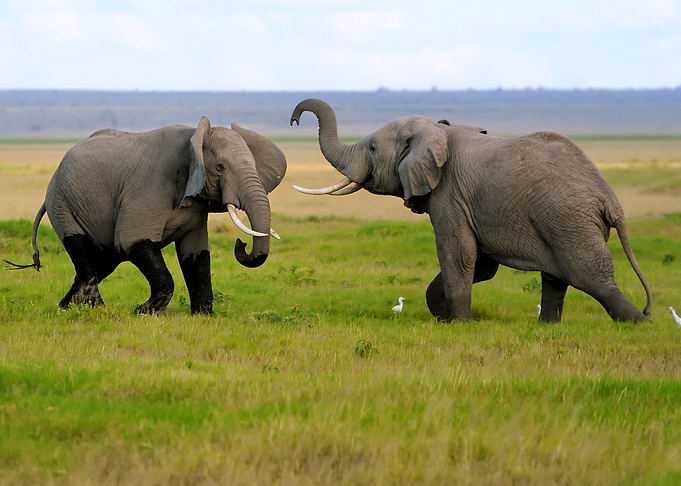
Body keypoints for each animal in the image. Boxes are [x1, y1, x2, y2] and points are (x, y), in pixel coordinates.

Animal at [5, 117, 286, 315]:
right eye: (220, 168)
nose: (241, 244)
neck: (194, 137)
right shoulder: (148, 189)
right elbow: (133, 241)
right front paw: (143, 312)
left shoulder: (196, 205)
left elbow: (195, 254)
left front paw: (203, 315)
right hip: (62, 203)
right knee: (83, 251)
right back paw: (95, 310)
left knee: (102, 261)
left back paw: (66, 308)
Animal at [289, 98, 652, 323]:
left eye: (373, 149)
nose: (294, 120)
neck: (437, 130)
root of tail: (609, 198)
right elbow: (482, 264)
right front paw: (443, 314)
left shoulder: (450, 195)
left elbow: (457, 253)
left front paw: (458, 322)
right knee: (556, 278)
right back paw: (547, 326)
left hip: (569, 220)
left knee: (590, 276)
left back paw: (637, 322)